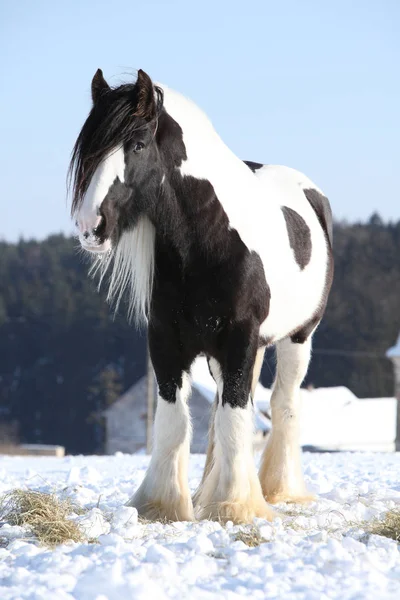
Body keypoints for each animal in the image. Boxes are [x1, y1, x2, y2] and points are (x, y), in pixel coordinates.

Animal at [69, 68, 334, 524]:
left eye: (137, 144)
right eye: (89, 147)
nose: (91, 226)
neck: (208, 239)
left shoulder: (240, 337)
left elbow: (234, 415)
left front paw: (234, 505)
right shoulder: (166, 338)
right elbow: (175, 420)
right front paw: (163, 504)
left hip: (298, 338)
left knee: (283, 404)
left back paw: (278, 490)